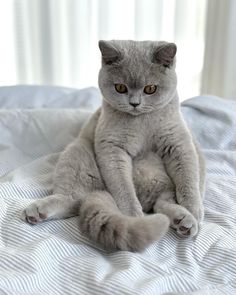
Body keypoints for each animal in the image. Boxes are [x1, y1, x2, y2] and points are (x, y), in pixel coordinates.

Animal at [21, 39, 205, 252]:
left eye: (150, 88)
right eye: (120, 88)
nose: (134, 103)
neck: (141, 123)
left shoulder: (179, 144)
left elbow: (188, 180)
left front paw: (194, 211)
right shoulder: (111, 148)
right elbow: (123, 187)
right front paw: (134, 217)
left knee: (163, 202)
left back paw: (184, 220)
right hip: (77, 151)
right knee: (72, 200)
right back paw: (37, 211)